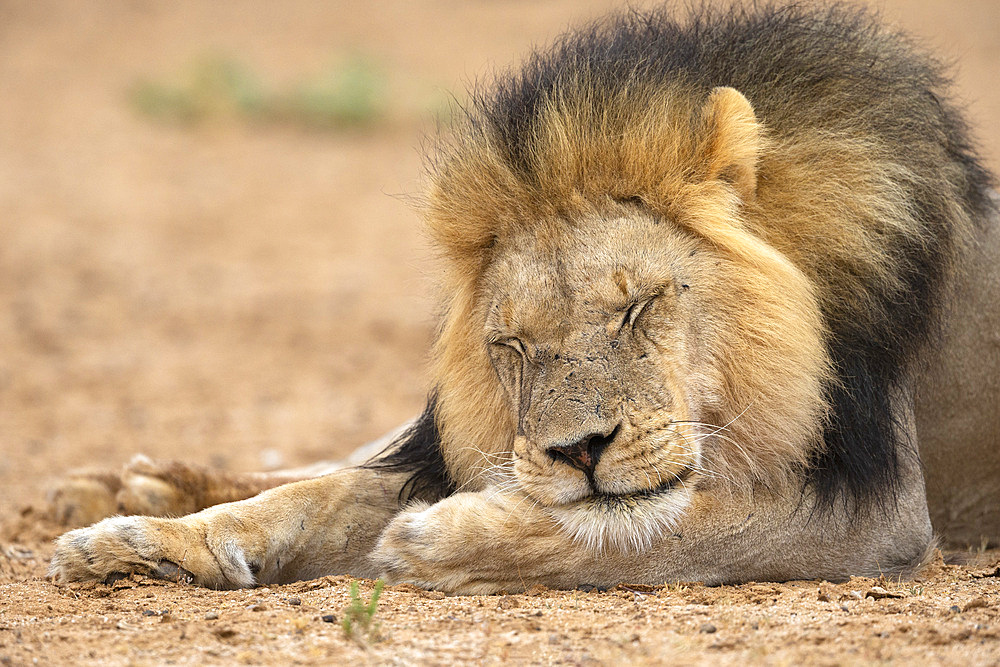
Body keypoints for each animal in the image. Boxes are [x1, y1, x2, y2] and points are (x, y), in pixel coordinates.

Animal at [47, 2, 1000, 592]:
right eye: (512, 347)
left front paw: (439, 538)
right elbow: (315, 496)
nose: (577, 450)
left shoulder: (879, 515)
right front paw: (153, 542)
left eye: (638, 307)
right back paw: (127, 493)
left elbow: (665, 528)